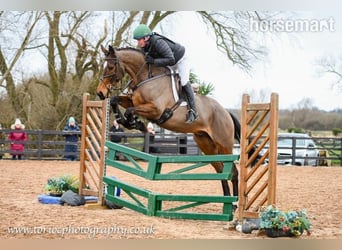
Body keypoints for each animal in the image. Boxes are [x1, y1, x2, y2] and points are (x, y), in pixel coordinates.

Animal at [95, 44, 240, 197]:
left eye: (111, 67)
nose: (100, 93)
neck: (146, 77)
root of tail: (226, 112)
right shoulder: (133, 102)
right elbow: (116, 100)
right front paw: (126, 121)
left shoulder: (156, 110)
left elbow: (130, 111)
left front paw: (136, 123)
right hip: (206, 143)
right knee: (221, 170)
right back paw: (227, 198)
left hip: (224, 144)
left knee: (233, 171)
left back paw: (235, 201)